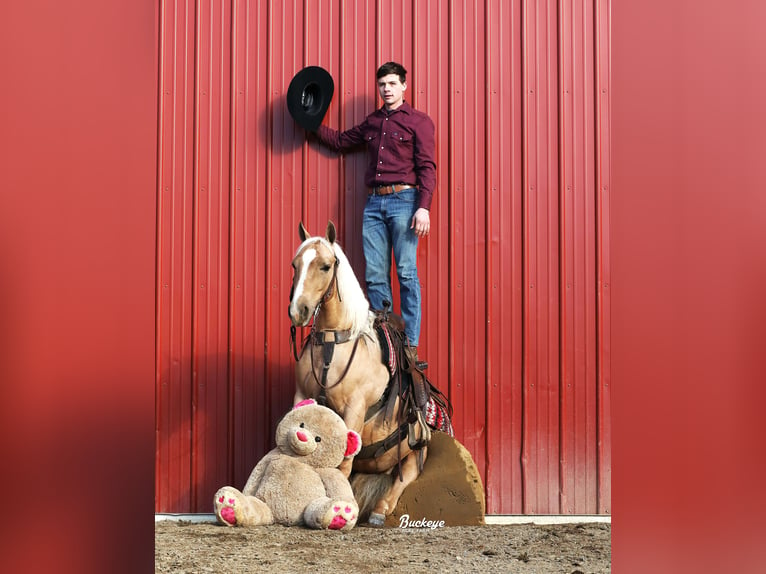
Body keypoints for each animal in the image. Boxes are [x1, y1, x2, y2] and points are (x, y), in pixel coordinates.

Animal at [290, 220, 450, 528]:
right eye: (295, 264)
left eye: (325, 266)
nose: (298, 311)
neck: (333, 342)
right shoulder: (302, 396)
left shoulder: (355, 408)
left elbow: (343, 462)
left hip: (416, 452)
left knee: (403, 479)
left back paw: (378, 511)